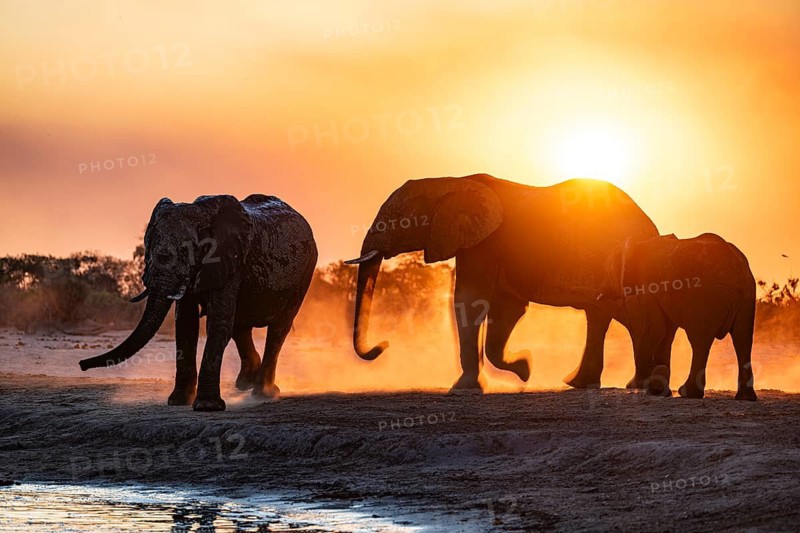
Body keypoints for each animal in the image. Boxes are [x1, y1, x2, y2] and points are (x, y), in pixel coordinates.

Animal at [79, 194, 317, 411]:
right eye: (149, 247)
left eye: (186, 250)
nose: (81, 364)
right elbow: (186, 324)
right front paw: (177, 402)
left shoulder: (228, 259)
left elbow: (217, 323)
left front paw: (206, 406)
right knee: (240, 325)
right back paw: (244, 385)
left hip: (304, 274)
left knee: (278, 328)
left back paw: (263, 393)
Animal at [345, 173, 659, 391]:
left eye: (394, 219)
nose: (383, 345)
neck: (448, 183)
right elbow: (505, 307)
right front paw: (525, 368)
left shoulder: (483, 243)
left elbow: (470, 299)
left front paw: (464, 388)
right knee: (605, 316)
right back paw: (597, 384)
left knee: (623, 314)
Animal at [597, 233, 757, 401]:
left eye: (607, 270)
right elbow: (666, 335)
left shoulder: (648, 288)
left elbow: (652, 331)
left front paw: (648, 386)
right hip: (747, 298)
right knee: (743, 339)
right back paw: (746, 397)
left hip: (705, 299)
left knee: (700, 342)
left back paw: (688, 393)